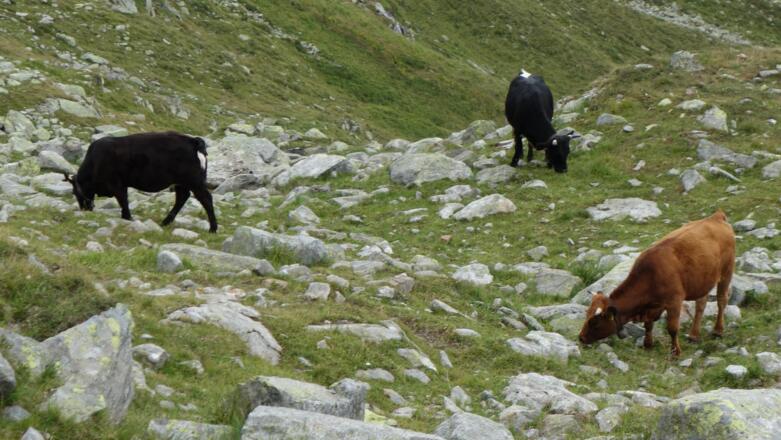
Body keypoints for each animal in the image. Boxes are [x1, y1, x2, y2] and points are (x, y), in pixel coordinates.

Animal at [64, 131, 218, 232]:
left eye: (75, 192)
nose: (84, 209)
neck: (95, 161)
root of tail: (193, 141)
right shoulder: (121, 184)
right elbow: (123, 200)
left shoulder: (116, 184)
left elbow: (123, 200)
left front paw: (128, 217)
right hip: (182, 183)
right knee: (182, 198)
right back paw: (165, 222)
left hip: (194, 181)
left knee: (206, 199)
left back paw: (213, 228)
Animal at [578, 210, 735, 357]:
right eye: (586, 314)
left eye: (594, 322)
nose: (581, 338)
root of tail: (716, 216)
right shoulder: (653, 306)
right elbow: (648, 325)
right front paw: (648, 344)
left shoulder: (674, 301)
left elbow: (672, 328)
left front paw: (675, 352)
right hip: (702, 280)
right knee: (701, 303)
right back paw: (694, 335)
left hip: (727, 272)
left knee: (721, 300)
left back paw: (718, 331)